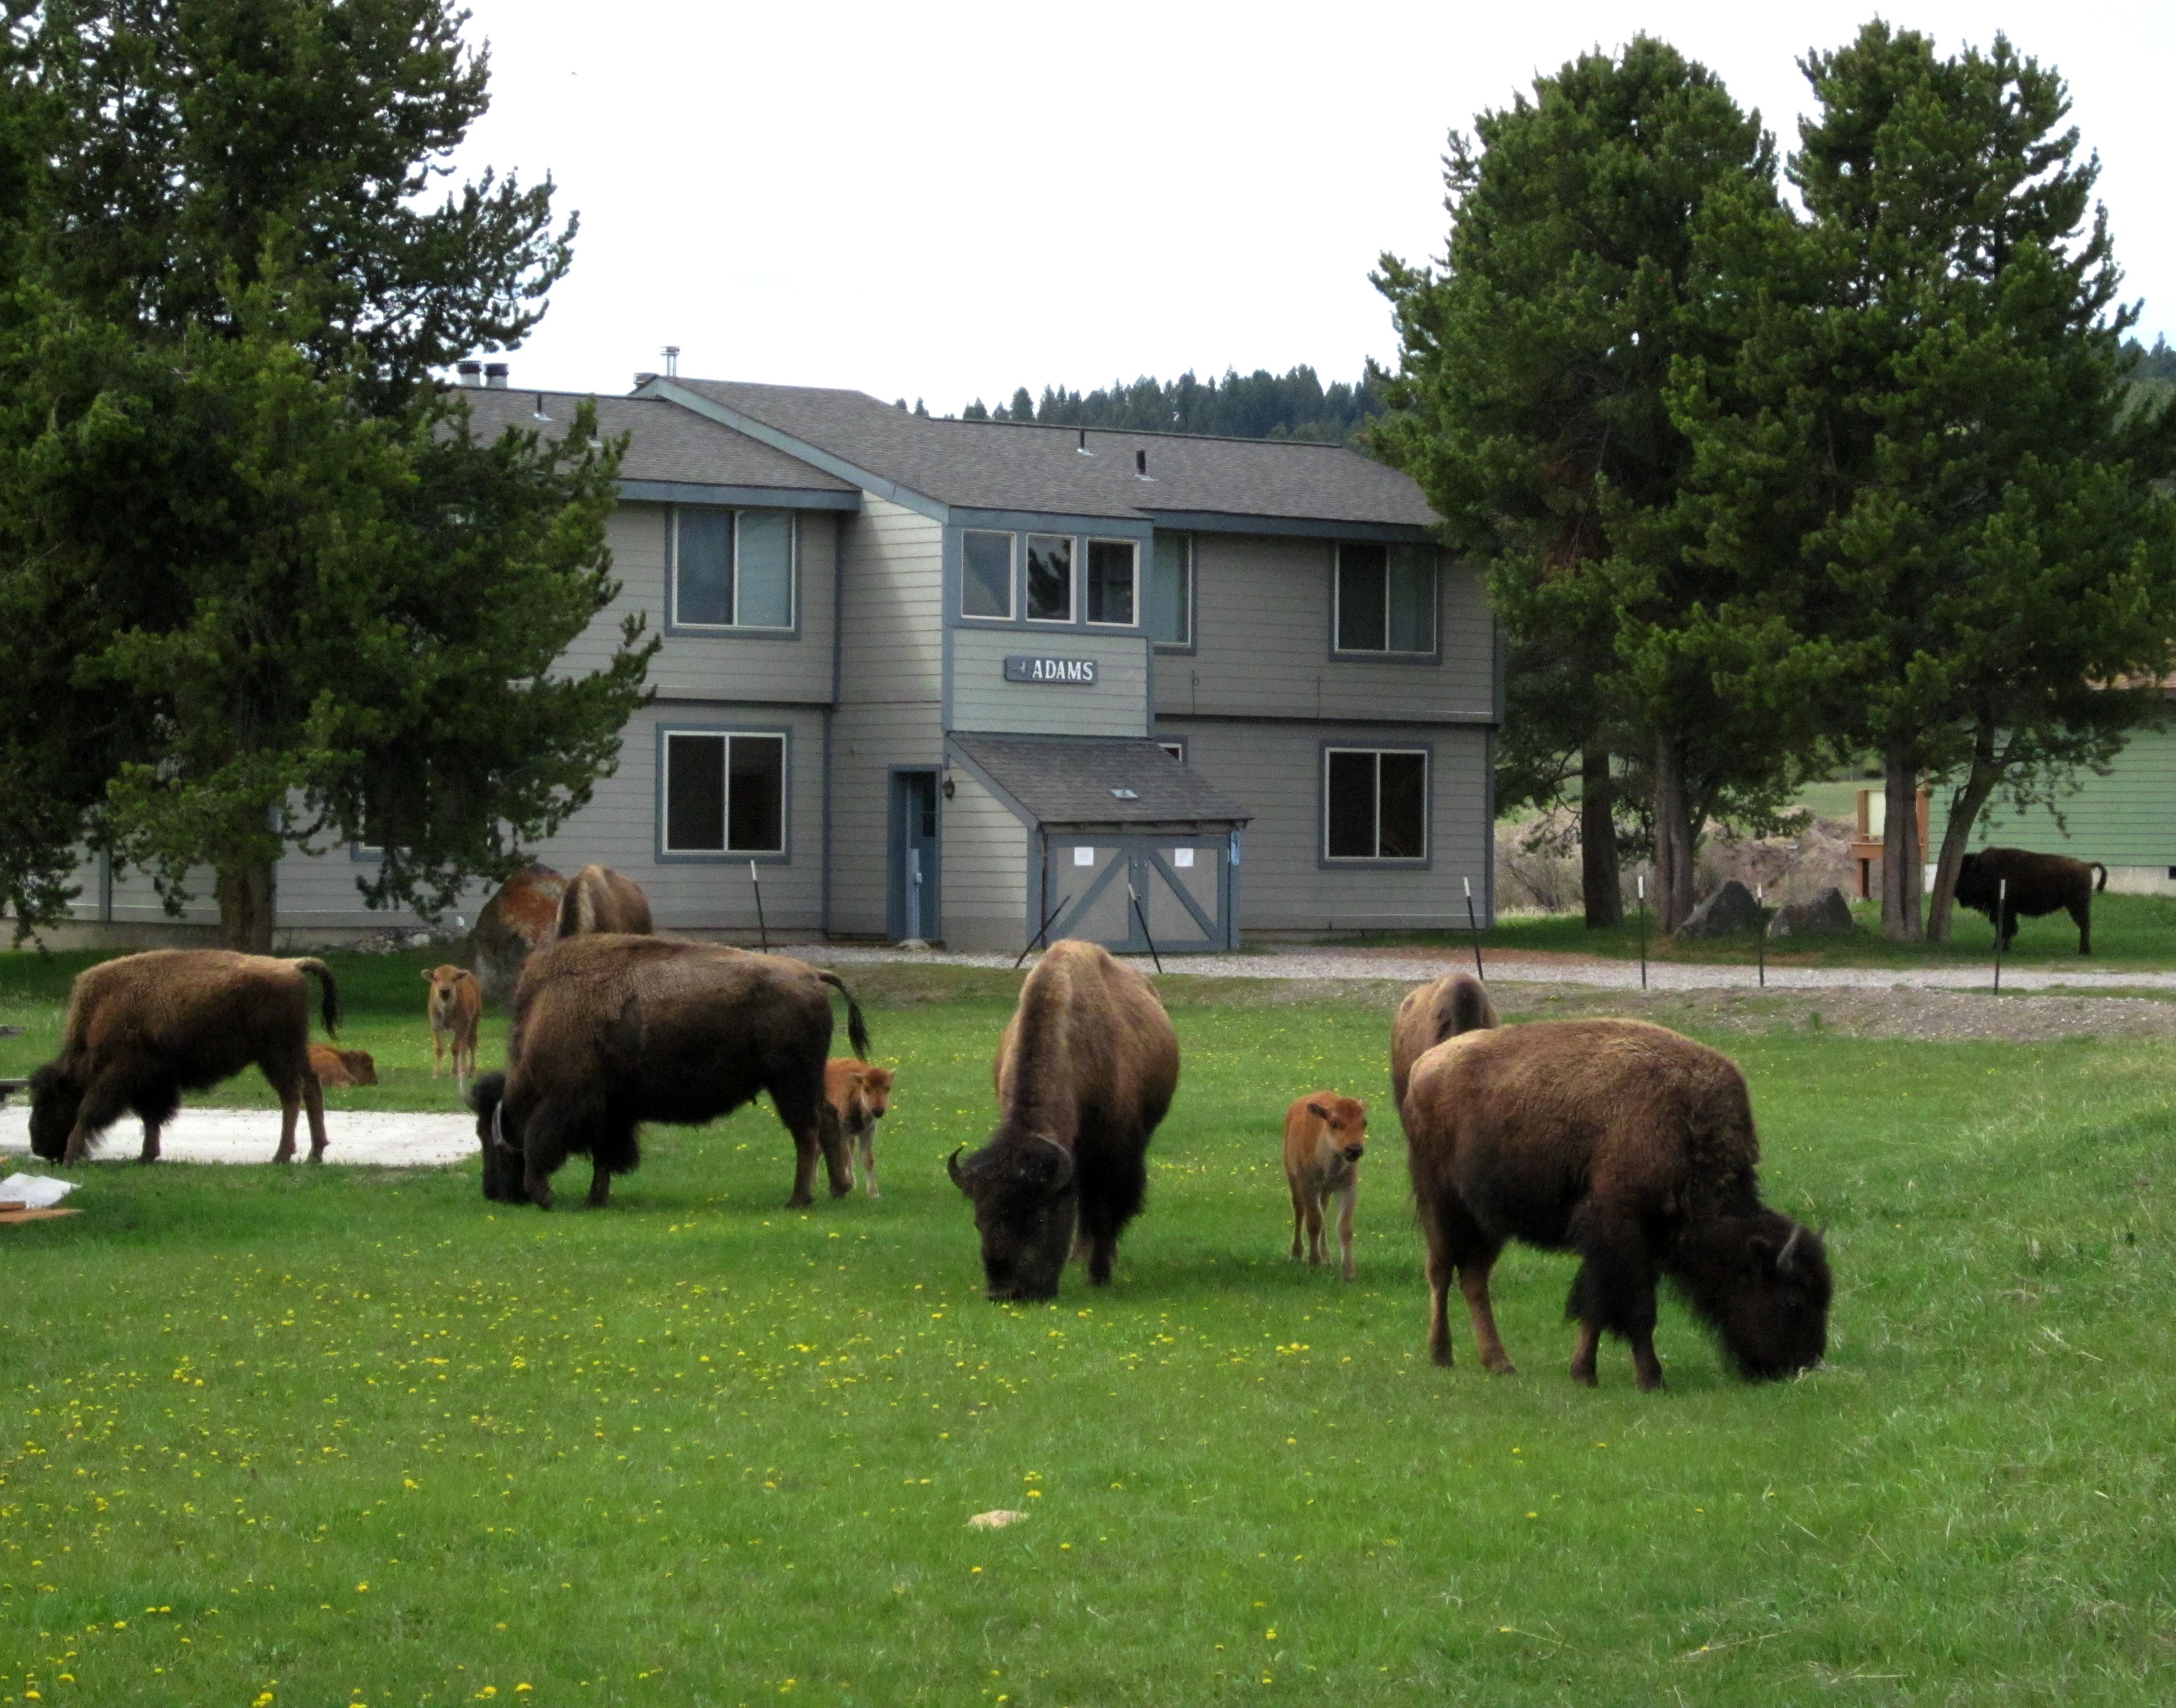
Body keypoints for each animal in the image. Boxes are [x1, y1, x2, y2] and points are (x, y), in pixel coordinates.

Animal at [28, 950, 340, 1164]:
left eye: (48, 1102)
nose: (38, 1147)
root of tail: (292, 965)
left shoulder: (119, 1074)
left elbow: (89, 1110)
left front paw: (71, 1156)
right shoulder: (152, 1082)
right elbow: (151, 1117)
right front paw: (146, 1156)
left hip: (275, 1055)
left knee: (291, 1095)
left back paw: (281, 1156)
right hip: (292, 1053)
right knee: (311, 1087)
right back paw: (315, 1154)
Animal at [468, 934, 869, 1210]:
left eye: (489, 1138)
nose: (493, 1193)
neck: (545, 1011)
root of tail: (813, 974)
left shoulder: (566, 1102)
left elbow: (540, 1143)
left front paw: (546, 1196)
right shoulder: (609, 1112)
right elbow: (604, 1155)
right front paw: (595, 1199)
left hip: (789, 1083)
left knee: (806, 1132)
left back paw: (798, 1200)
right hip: (805, 1082)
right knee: (826, 1121)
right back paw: (837, 1191)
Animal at [947, 940, 1179, 1301]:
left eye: (1038, 1218)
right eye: (979, 1219)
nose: (1004, 1292)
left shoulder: (1109, 1155)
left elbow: (1103, 1211)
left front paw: (1099, 1275)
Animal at [1401, 1018, 1830, 1390]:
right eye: (1794, 1300)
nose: (1802, 1365)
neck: (1686, 1125)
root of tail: (1425, 1066)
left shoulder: (1637, 1244)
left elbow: (1596, 1306)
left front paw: (1584, 1374)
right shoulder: (1622, 1232)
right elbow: (1636, 1310)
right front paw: (1651, 1381)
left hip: (1490, 1221)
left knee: (1474, 1278)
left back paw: (1500, 1363)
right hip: (1442, 1204)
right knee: (1440, 1272)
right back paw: (1441, 1354)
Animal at [1955, 847, 2107, 953]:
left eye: (1964, 872)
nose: (1955, 890)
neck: (1982, 869)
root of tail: (2086, 865)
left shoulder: (2002, 909)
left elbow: (2004, 928)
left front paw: (1998, 948)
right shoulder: (2006, 911)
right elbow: (2006, 928)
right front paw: (2004, 948)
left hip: (2076, 905)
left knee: (2084, 925)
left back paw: (2084, 951)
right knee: (2085, 925)